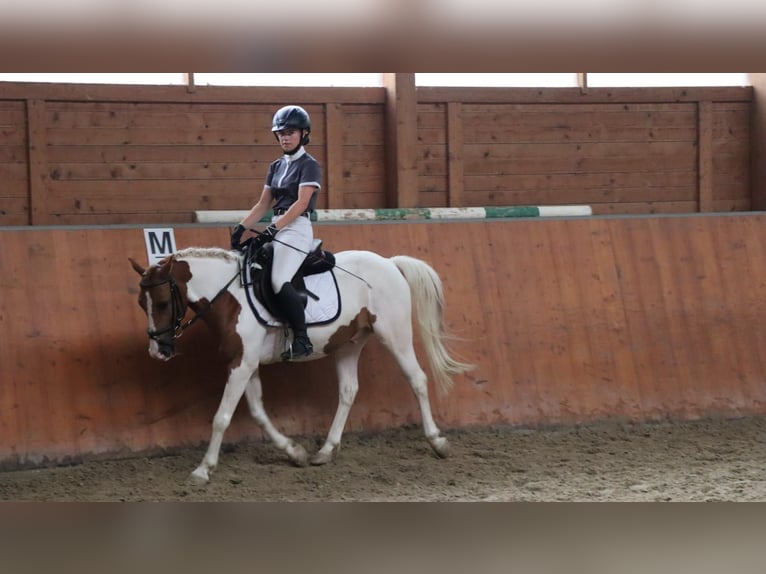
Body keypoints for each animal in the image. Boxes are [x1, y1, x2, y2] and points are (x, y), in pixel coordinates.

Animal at [129, 245, 472, 484]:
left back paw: (437, 442)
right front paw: (295, 452)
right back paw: (326, 450)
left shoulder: (241, 365)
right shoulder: (246, 363)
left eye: (163, 303)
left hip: (394, 334)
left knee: (417, 379)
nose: (158, 351)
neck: (230, 297)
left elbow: (222, 417)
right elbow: (258, 413)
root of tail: (389, 262)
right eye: (141, 304)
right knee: (348, 391)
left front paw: (203, 469)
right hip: (349, 343)